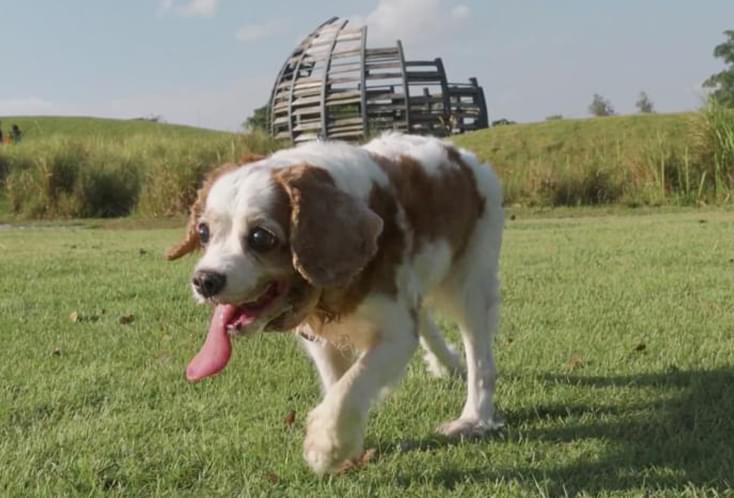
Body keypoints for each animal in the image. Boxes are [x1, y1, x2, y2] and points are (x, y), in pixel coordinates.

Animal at [168, 132, 506, 474]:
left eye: (261, 237)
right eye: (203, 232)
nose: (205, 280)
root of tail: (462, 156)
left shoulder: (396, 333)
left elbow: (351, 385)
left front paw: (325, 447)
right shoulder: (320, 339)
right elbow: (337, 383)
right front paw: (346, 450)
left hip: (471, 282)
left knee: (480, 358)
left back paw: (473, 419)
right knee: (425, 318)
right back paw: (447, 364)